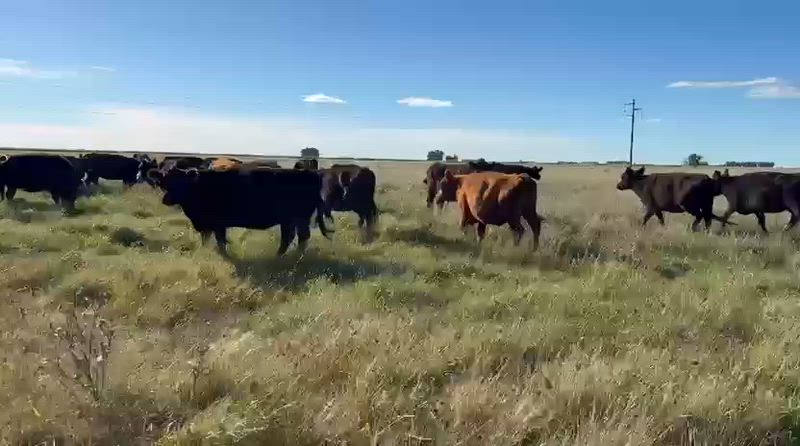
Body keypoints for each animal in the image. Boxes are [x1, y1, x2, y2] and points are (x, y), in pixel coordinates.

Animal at [147, 167, 333, 255]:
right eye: (165, 181)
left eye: (182, 182)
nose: (166, 199)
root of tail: (311, 173)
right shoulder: (207, 223)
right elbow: (206, 239)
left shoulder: (218, 223)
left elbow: (221, 241)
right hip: (291, 220)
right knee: (293, 237)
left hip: (297, 218)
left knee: (298, 237)